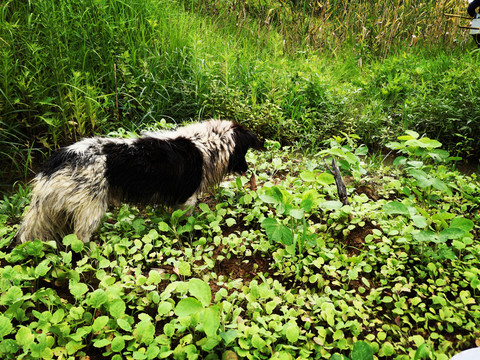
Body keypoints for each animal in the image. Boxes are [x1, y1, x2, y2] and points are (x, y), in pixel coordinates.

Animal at [17, 121, 262, 245]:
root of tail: (58, 162)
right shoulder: (188, 200)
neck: (207, 143)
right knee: (80, 239)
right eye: (244, 153)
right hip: (91, 208)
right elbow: (186, 222)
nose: (247, 170)